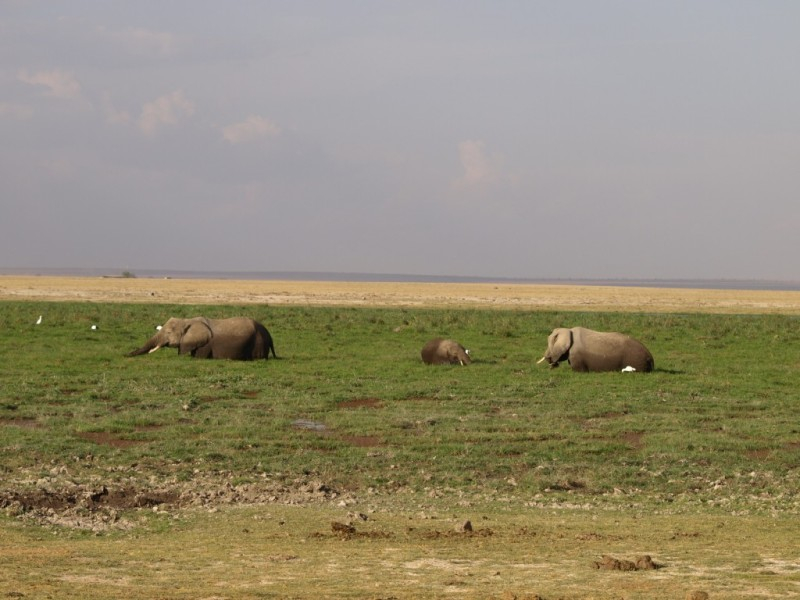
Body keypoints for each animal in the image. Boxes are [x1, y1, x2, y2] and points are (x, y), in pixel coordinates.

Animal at [125, 316, 276, 358]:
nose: (125, 355)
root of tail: (268, 333)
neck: (187, 320)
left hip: (258, 343)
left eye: (168, 332)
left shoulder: (206, 344)